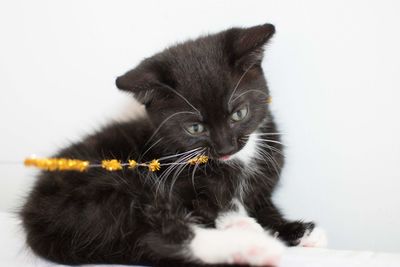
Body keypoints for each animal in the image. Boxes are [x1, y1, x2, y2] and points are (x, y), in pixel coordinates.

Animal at [19, 24, 324, 266]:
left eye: (239, 114)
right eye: (195, 128)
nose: (225, 149)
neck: (238, 162)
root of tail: (33, 217)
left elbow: (263, 206)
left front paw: (296, 230)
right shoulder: (175, 182)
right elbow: (205, 205)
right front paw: (241, 220)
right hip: (108, 190)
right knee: (158, 236)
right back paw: (251, 245)